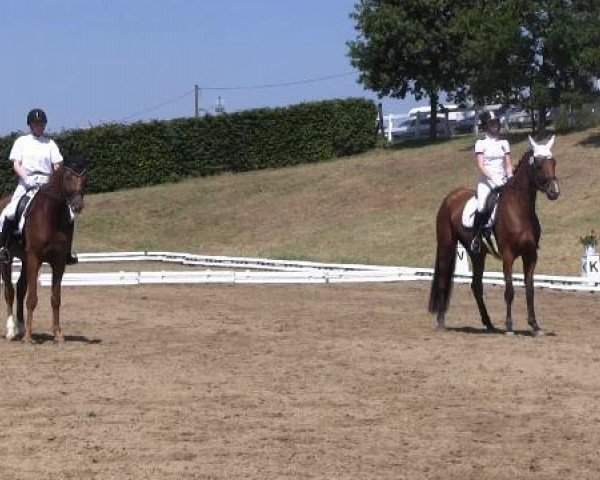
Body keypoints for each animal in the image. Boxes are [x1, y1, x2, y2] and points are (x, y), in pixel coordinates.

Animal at [0, 156, 88, 344]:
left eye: (85, 179)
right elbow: (32, 298)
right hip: (7, 260)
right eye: (68, 177)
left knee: (20, 288)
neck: (51, 216)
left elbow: (55, 299)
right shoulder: (35, 257)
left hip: (25, 259)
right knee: (9, 290)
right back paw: (12, 331)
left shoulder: (59, 262)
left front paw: (58, 335)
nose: (77, 206)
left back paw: (21, 327)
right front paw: (28, 338)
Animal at [428, 135, 560, 336]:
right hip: (446, 246)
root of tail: (451, 196)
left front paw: (535, 326)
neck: (519, 209)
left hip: (477, 254)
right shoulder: (508, 255)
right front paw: (509, 326)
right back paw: (441, 321)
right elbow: (509, 290)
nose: (554, 192)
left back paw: (488, 323)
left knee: (476, 285)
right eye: (538, 164)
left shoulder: (530, 255)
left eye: (553, 162)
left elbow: (530, 290)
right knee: (444, 280)